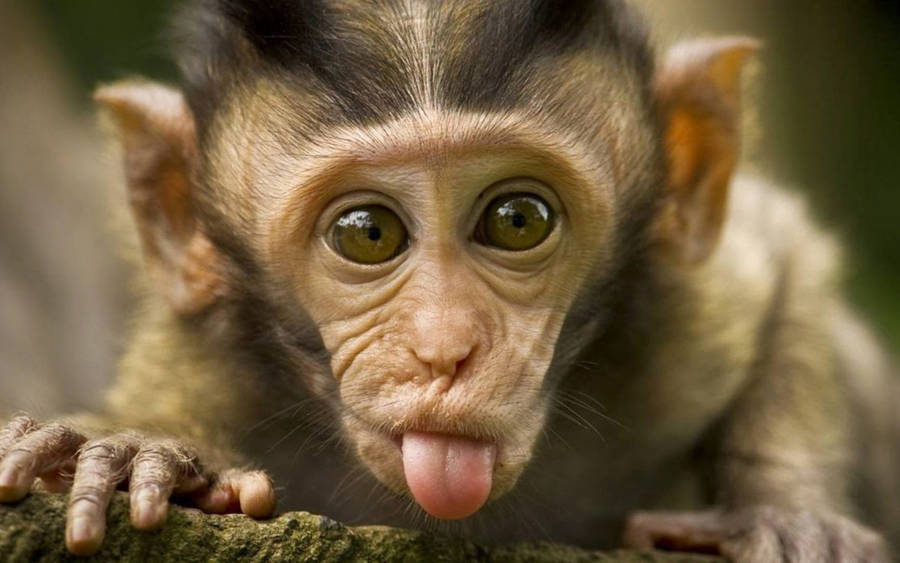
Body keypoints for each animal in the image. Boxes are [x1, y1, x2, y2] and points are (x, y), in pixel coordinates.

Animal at [0, 1, 897, 561]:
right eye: (367, 233)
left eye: (517, 219)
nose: (445, 350)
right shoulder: (205, 360)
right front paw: (138, 448)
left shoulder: (686, 320)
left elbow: (788, 261)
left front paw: (786, 514)